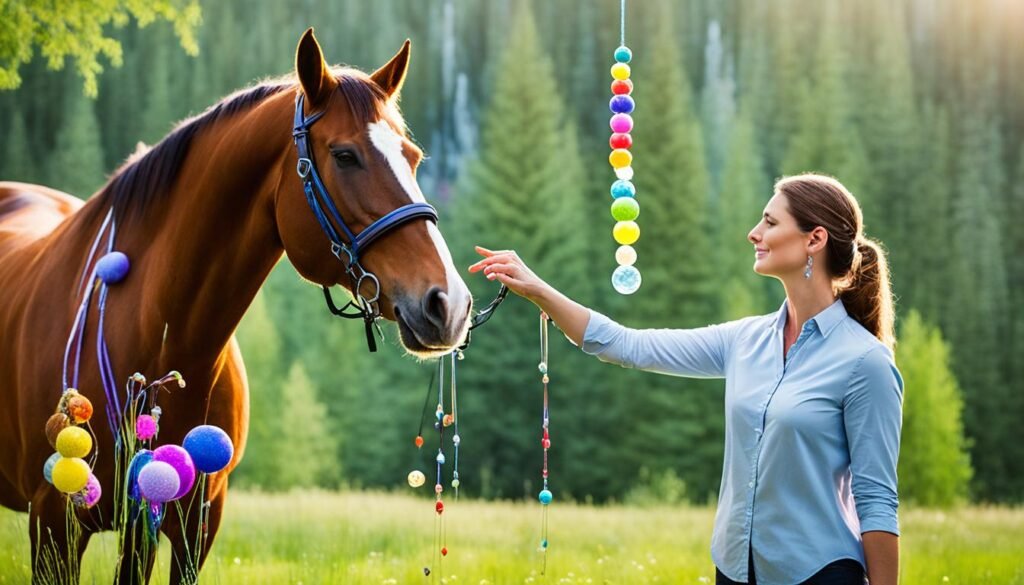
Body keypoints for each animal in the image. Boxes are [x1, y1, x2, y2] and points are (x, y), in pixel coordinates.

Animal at [0, 29, 473, 583]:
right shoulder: (54, 523)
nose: (449, 303)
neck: (161, 340)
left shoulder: (187, 526)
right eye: (345, 155)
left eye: (412, 156)